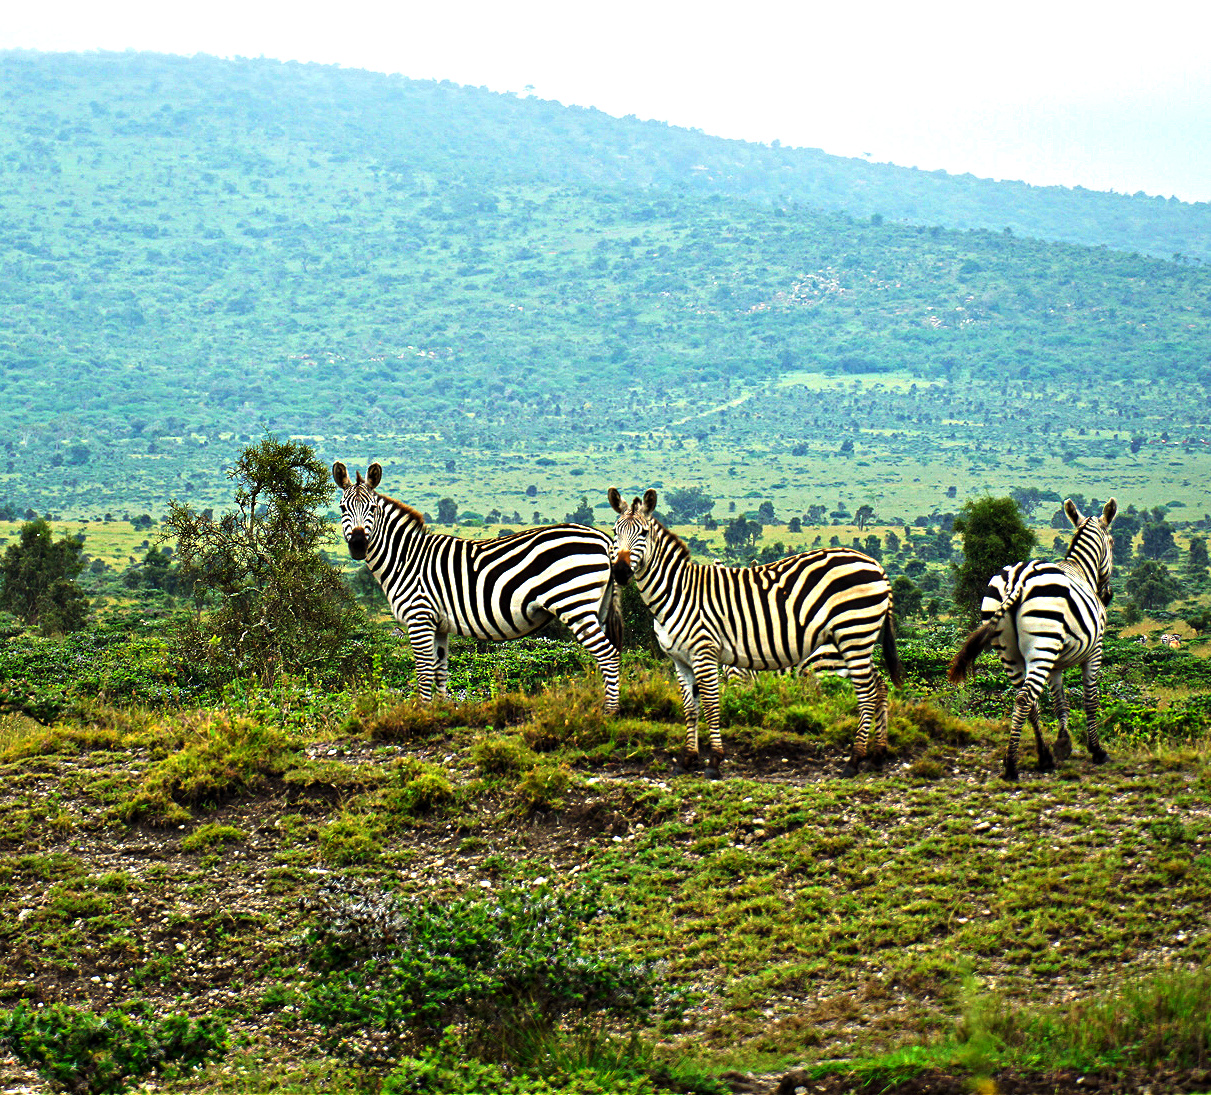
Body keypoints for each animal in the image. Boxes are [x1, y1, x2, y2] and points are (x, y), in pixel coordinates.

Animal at [336, 462, 624, 712]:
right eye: (342, 508)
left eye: (373, 508)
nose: (358, 545)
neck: (407, 558)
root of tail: (602, 538)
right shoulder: (438, 623)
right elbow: (440, 670)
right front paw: (441, 713)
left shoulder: (420, 616)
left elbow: (424, 670)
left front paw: (422, 714)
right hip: (597, 606)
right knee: (609, 654)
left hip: (574, 603)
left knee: (607, 654)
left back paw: (610, 712)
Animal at [605, 486, 900, 780]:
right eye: (615, 531)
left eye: (643, 533)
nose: (619, 571)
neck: (676, 593)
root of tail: (876, 564)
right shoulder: (681, 660)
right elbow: (690, 708)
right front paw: (687, 759)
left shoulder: (706, 652)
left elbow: (711, 704)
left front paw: (714, 762)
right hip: (852, 640)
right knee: (880, 685)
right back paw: (877, 755)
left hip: (854, 633)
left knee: (867, 693)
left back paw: (854, 760)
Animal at [944, 496, 1114, 780]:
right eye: (1112, 542)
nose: (1108, 595)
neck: (1081, 570)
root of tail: (1017, 580)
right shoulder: (1094, 651)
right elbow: (1089, 699)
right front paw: (1096, 750)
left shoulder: (1056, 662)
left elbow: (1059, 701)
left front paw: (1063, 743)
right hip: (1042, 644)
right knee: (1026, 697)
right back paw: (1012, 766)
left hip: (1010, 651)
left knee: (1026, 699)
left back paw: (1043, 755)